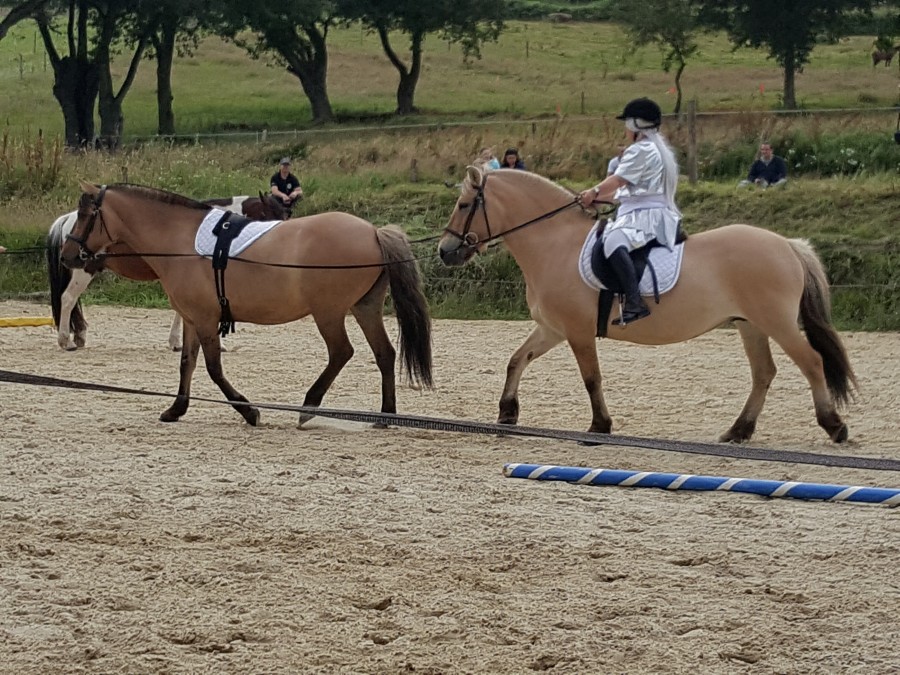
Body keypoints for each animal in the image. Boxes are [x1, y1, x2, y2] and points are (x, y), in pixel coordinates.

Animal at [47, 193, 288, 351]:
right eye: (271, 216)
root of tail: (68, 219)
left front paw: (176, 342)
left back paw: (79, 337)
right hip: (83, 270)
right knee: (68, 299)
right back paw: (65, 341)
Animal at [437, 166, 857, 443]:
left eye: (464, 204)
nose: (444, 251)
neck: (554, 243)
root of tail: (787, 244)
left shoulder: (577, 332)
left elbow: (591, 378)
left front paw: (599, 426)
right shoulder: (552, 329)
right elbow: (516, 360)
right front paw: (507, 413)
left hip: (777, 322)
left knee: (811, 362)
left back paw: (834, 426)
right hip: (750, 324)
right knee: (764, 373)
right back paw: (738, 431)